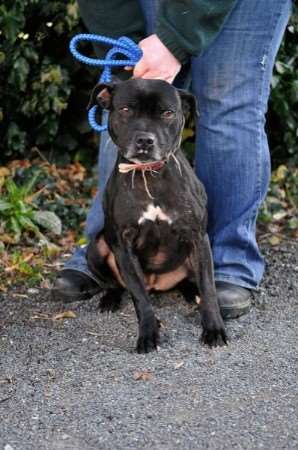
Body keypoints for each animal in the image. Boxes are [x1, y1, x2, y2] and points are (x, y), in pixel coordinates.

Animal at [85, 78, 226, 352]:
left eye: (167, 113)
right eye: (126, 110)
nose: (145, 140)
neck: (148, 174)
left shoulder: (198, 237)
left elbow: (208, 287)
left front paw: (214, 329)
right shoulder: (123, 244)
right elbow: (139, 296)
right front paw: (149, 333)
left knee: (191, 280)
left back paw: (191, 292)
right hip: (97, 247)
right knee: (117, 283)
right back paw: (110, 298)